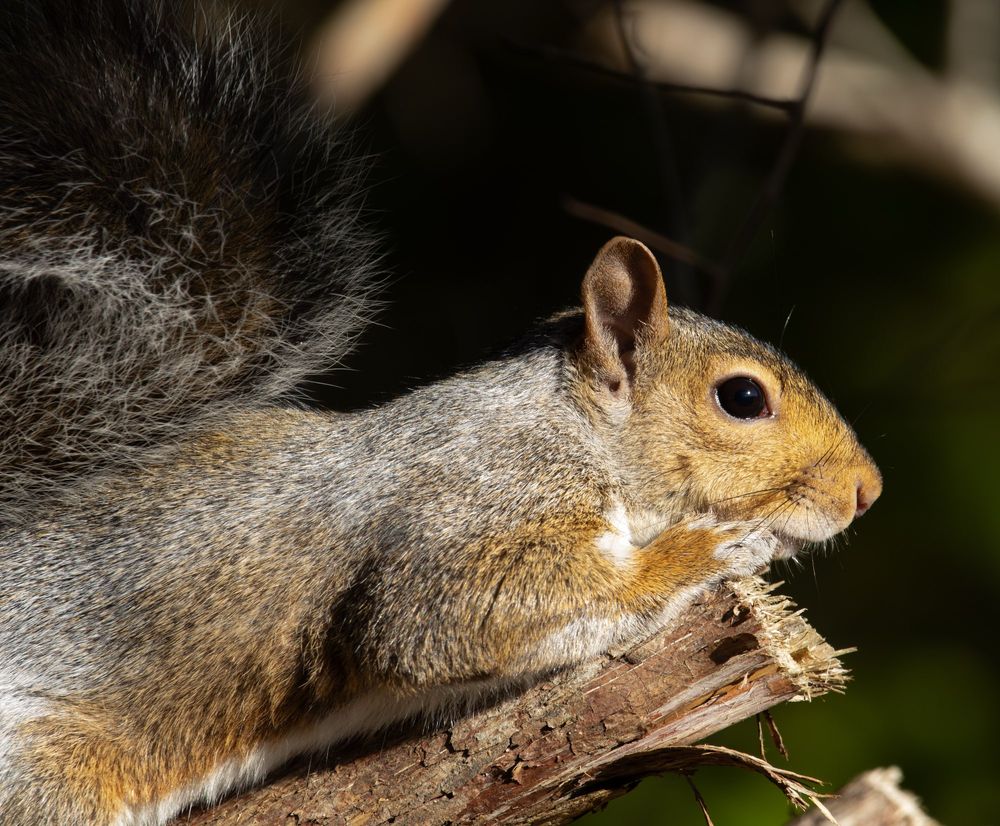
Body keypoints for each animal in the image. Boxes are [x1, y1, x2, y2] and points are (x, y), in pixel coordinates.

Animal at [0, 1, 882, 824]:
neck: (573, 429)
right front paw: (697, 553)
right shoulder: (474, 498)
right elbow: (435, 616)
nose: (868, 491)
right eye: (742, 398)